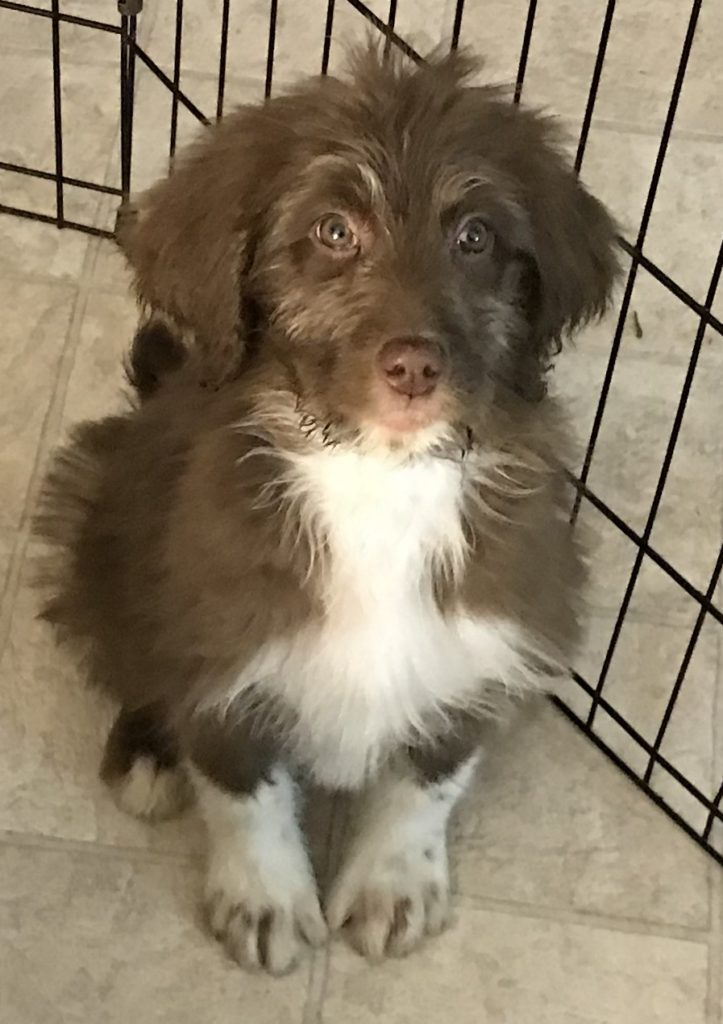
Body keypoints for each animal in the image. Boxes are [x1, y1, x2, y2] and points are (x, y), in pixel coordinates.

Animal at [35, 49, 614, 974]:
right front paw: (264, 901)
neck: (376, 476)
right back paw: (147, 757)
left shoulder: (497, 625)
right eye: (333, 231)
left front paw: (393, 884)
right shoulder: (220, 633)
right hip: (98, 502)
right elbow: (239, 782)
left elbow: (432, 773)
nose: (412, 367)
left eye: (475, 236)